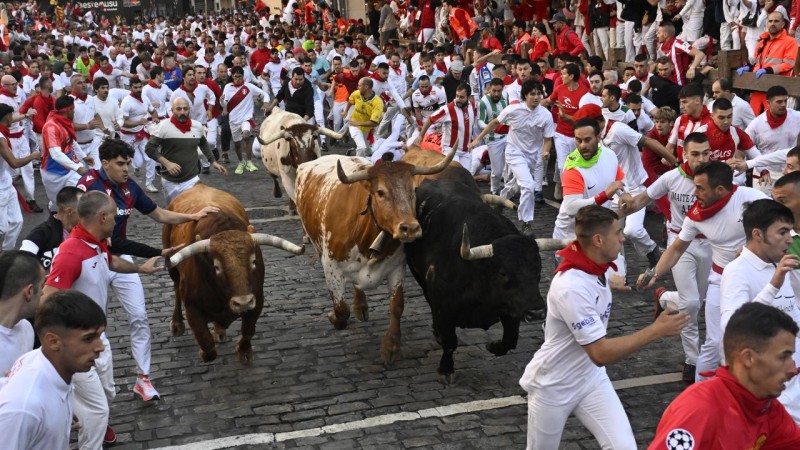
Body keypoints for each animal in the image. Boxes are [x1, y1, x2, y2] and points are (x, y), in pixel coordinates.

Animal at [162, 185, 304, 364]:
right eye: (216, 267)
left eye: (253, 261)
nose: (243, 303)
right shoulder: (191, 307)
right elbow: (206, 345)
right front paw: (204, 353)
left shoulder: (257, 299)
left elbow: (248, 330)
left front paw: (243, 351)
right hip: (173, 269)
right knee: (176, 292)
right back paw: (177, 325)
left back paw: (219, 330)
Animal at [294, 152, 456, 366]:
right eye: (380, 192)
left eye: (413, 190)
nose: (411, 228)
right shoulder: (331, 267)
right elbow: (341, 310)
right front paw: (332, 317)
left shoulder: (397, 267)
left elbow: (397, 306)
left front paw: (391, 346)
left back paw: (361, 306)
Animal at [406, 178, 552, 382]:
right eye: (503, 273)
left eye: (538, 271)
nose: (537, 312)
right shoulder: (443, 308)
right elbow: (450, 341)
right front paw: (446, 369)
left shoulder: (512, 308)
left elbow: (510, 340)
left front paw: (493, 346)